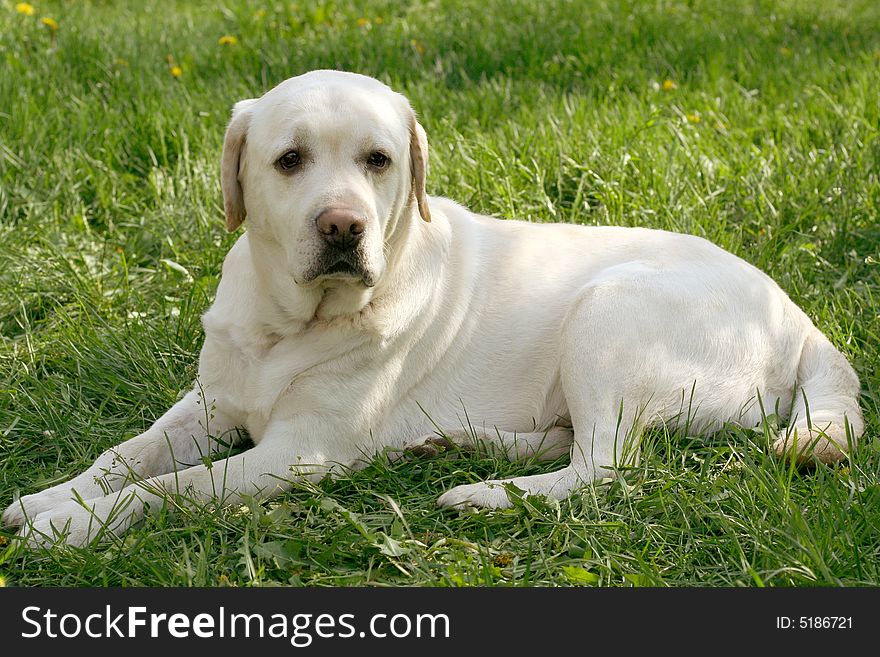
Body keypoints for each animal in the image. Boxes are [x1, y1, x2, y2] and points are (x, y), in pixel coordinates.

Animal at [3, 69, 864, 544]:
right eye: (289, 159)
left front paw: (72, 524)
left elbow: (168, 488)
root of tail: (799, 317)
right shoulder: (209, 402)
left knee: (604, 466)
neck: (289, 324)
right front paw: (46, 497)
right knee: (565, 440)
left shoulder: (296, 452)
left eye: (378, 160)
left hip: (607, 309)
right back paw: (453, 445)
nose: (343, 226)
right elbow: (125, 455)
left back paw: (482, 494)